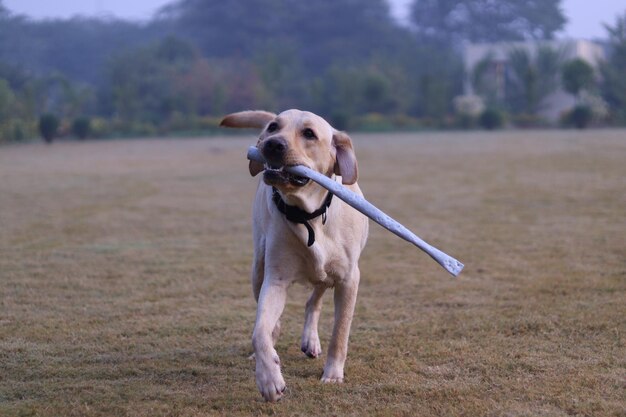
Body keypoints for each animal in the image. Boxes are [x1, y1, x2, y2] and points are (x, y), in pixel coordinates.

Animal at [218, 109, 366, 400]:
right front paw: (269, 378)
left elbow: (340, 333)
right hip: (258, 267)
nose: (272, 144)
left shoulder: (348, 279)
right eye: (273, 127)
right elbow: (259, 332)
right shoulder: (275, 279)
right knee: (273, 319)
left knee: (314, 299)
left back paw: (311, 340)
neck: (308, 215)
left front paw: (333, 374)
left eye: (309, 133)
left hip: (327, 272)